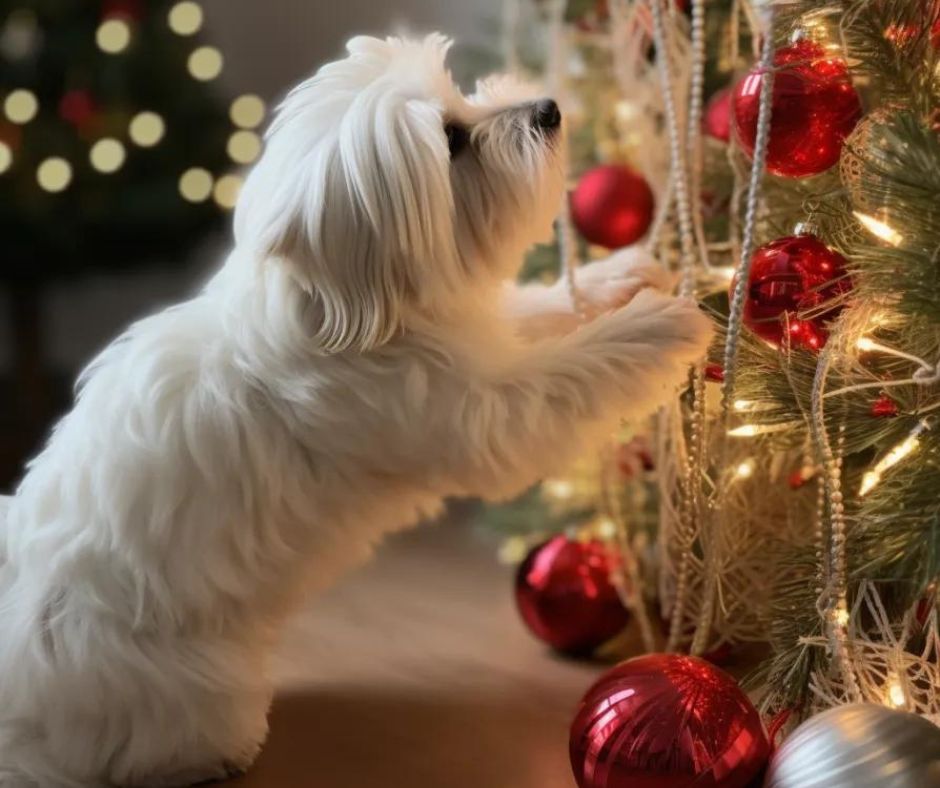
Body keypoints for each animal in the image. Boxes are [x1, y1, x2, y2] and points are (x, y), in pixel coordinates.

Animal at [0, 35, 708, 788]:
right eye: (452, 140)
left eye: (459, 96)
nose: (547, 108)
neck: (336, 306)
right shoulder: (478, 412)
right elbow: (567, 373)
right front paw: (655, 326)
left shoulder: (471, 333)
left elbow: (536, 309)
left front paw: (617, 277)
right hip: (180, 689)